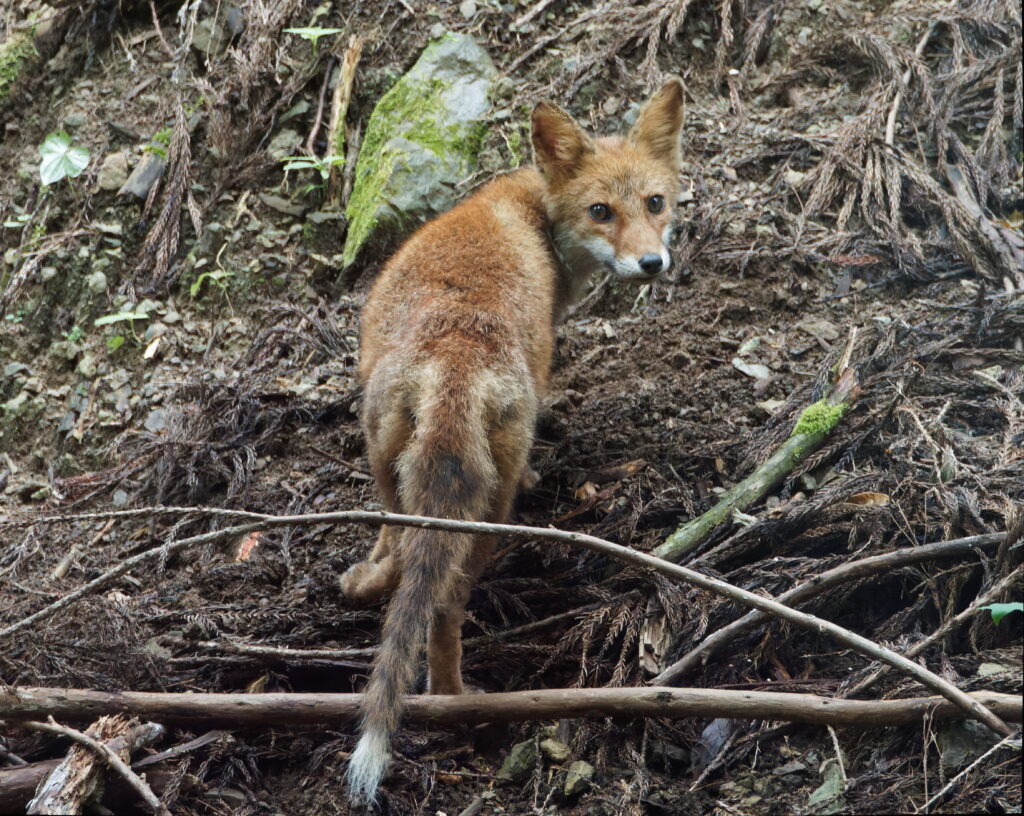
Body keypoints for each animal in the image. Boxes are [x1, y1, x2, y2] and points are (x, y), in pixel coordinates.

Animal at [339, 76, 684, 802]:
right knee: (444, 605)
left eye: (655, 202)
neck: (531, 211)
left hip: (388, 451)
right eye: (601, 211)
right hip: (488, 517)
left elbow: (387, 544)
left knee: (398, 550)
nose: (652, 262)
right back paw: (454, 699)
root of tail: (454, 361)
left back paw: (372, 587)